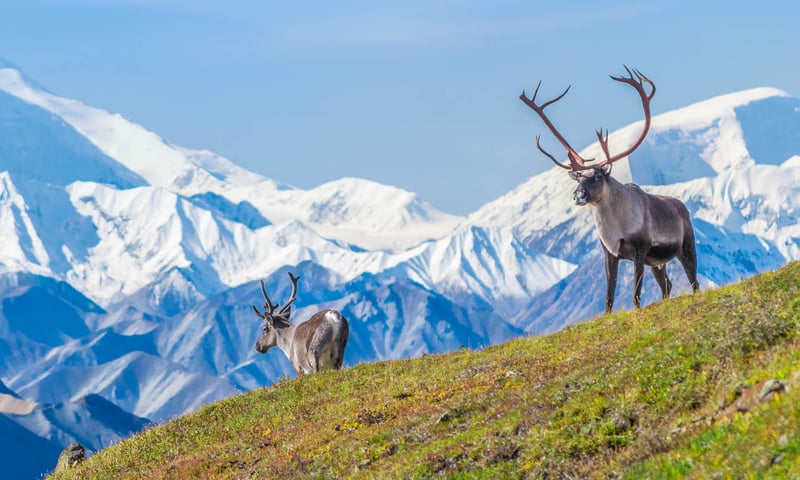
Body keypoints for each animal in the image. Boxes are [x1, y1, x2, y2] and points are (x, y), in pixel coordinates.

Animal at [519, 66, 699, 313]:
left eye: (596, 176)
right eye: (578, 179)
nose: (578, 195)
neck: (615, 228)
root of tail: (682, 206)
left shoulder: (640, 249)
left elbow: (635, 293)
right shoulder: (610, 254)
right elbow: (609, 295)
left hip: (685, 246)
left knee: (694, 281)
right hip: (657, 262)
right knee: (667, 285)